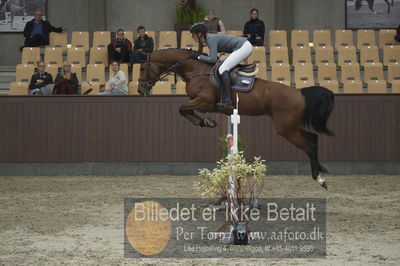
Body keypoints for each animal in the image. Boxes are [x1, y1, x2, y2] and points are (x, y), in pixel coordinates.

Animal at [138, 48, 334, 189]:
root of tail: (300, 92)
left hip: (286, 128)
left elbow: (182, 109)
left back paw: (319, 178)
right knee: (313, 138)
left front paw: (205, 122)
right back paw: (321, 169)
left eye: (143, 68)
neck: (196, 71)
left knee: (309, 144)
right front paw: (206, 122)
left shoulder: (204, 101)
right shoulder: (201, 103)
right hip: (291, 126)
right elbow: (185, 110)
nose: (140, 90)